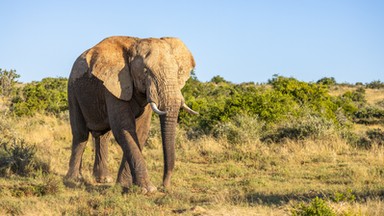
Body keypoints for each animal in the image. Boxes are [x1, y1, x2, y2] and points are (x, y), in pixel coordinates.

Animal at [65, 35, 196, 192]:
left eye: (177, 72)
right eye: (146, 71)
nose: (164, 186)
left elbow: (140, 132)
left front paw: (124, 185)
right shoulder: (114, 85)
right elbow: (124, 129)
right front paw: (148, 189)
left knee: (103, 136)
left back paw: (103, 179)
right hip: (72, 89)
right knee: (81, 134)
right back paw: (72, 180)